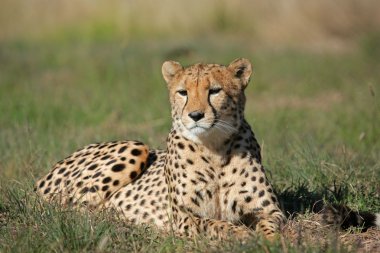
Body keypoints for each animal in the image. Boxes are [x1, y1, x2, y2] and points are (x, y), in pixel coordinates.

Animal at [34, 58, 378, 241]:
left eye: (214, 90)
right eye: (183, 92)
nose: (196, 115)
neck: (213, 149)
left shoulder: (268, 209)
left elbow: (269, 224)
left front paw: (267, 239)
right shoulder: (183, 216)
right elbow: (213, 223)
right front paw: (241, 235)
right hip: (134, 147)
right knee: (67, 210)